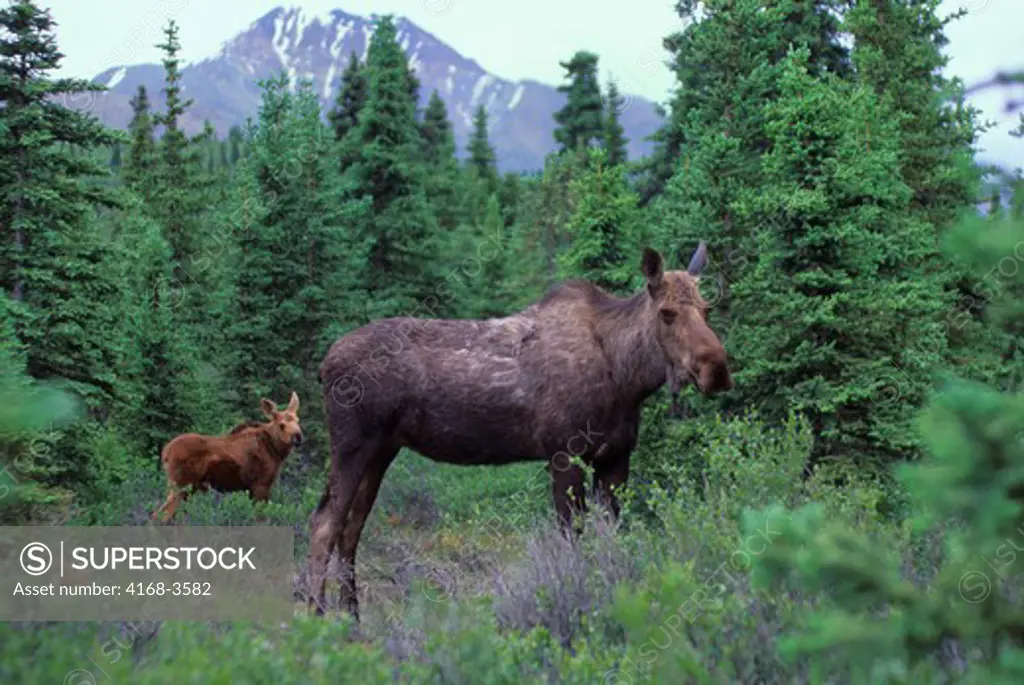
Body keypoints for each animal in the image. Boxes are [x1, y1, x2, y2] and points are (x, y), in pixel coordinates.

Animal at [151, 393, 301, 520]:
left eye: (298, 421)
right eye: (281, 425)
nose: (298, 436)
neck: (275, 451)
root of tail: (165, 453)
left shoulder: (250, 489)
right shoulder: (261, 485)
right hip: (181, 485)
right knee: (160, 516)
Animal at [303, 244, 729, 614]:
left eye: (707, 308)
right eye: (667, 313)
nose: (718, 370)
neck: (626, 378)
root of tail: (323, 366)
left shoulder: (616, 457)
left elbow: (610, 537)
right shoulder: (563, 453)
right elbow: (572, 537)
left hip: (382, 450)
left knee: (350, 528)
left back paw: (353, 618)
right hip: (352, 445)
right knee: (324, 524)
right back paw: (317, 616)